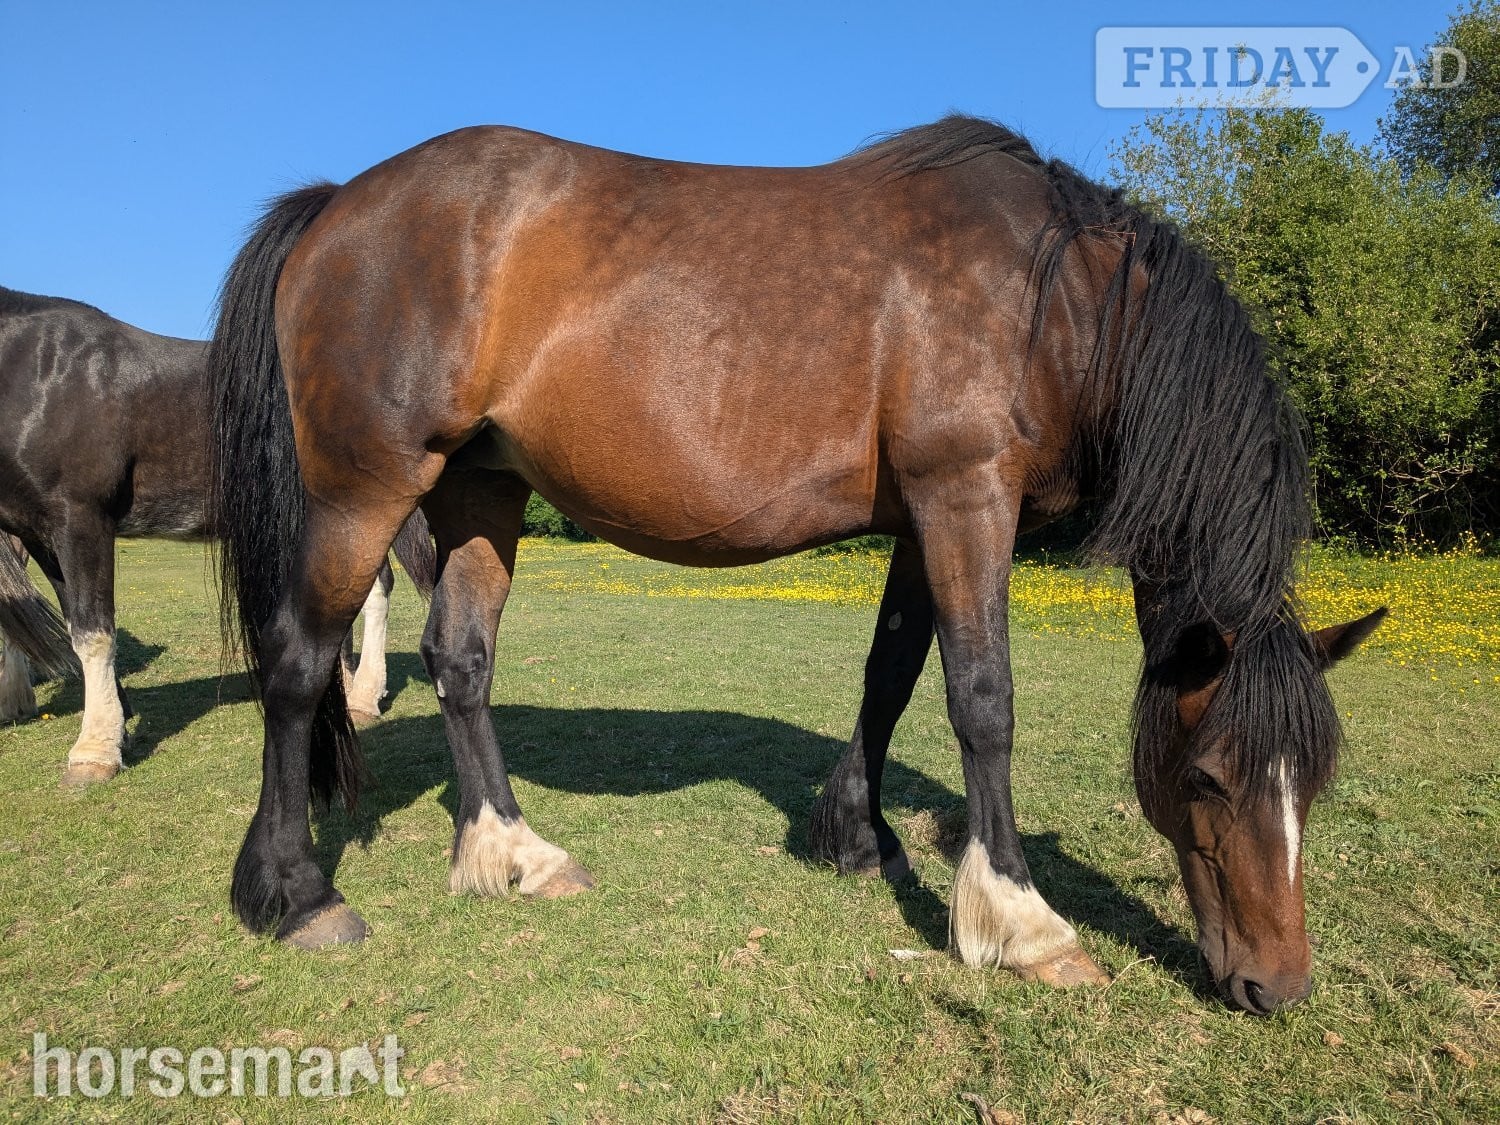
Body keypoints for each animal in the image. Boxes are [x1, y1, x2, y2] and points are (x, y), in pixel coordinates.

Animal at [0, 287, 436, 785]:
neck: (41, 371)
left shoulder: (81, 518)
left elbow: (94, 632)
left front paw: (94, 751)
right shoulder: (40, 536)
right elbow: (72, 622)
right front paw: (117, 724)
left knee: (377, 590)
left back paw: (363, 696)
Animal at [206, 116, 1385, 1015]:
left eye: (1316, 779)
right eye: (1208, 775)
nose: (1277, 987)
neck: (1052, 297)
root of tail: (340, 205)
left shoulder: (922, 517)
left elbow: (893, 675)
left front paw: (856, 837)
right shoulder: (968, 497)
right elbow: (983, 698)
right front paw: (1019, 918)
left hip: (480, 490)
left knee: (460, 658)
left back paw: (514, 855)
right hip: (365, 489)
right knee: (298, 664)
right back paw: (293, 893)